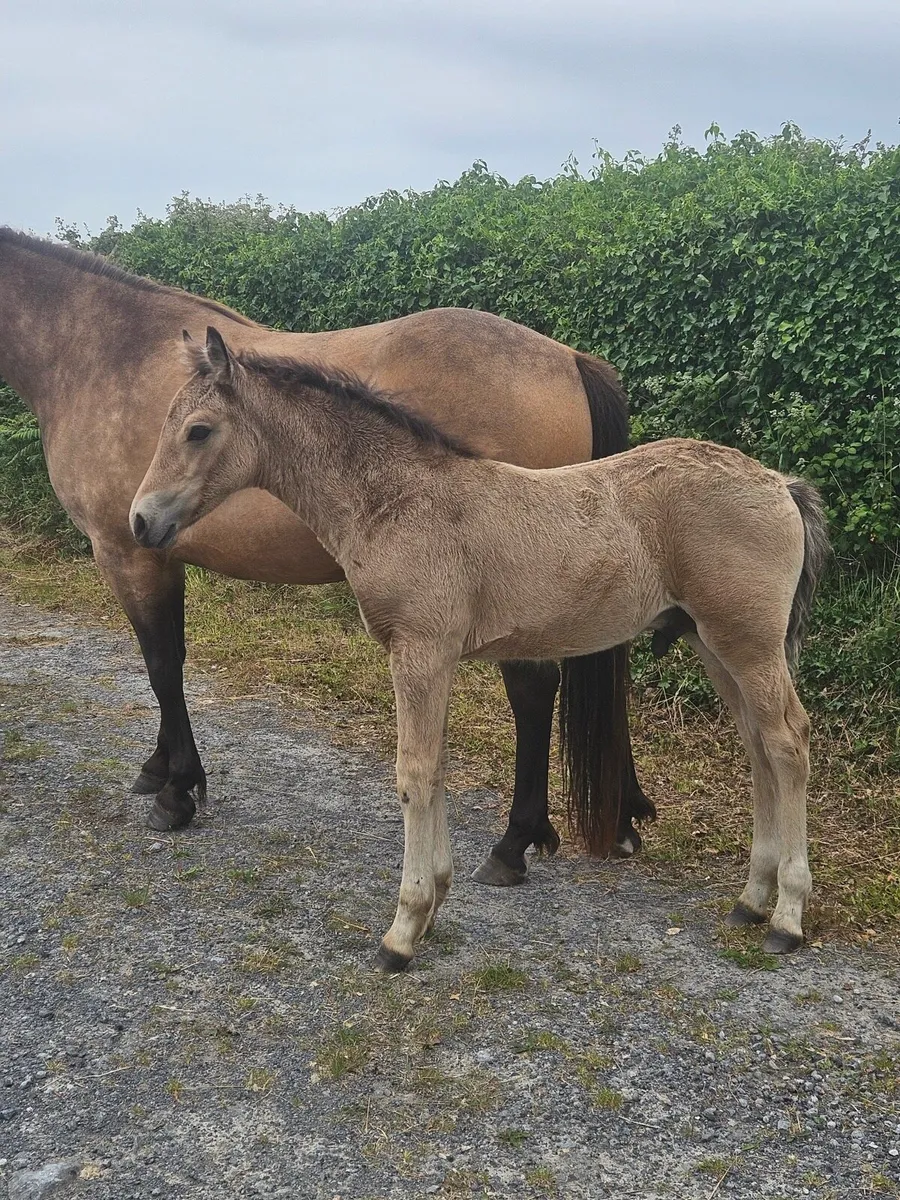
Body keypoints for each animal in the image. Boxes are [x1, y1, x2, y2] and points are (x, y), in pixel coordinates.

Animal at [0, 226, 656, 885]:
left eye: (197, 431)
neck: (100, 351)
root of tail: (567, 358)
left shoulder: (129, 554)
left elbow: (162, 664)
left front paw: (176, 791)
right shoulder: (155, 552)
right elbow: (164, 661)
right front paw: (158, 769)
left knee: (533, 690)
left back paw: (515, 842)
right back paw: (624, 816)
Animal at [131, 328, 830, 970]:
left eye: (197, 430)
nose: (141, 520)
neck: (399, 501)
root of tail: (779, 483)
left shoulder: (418, 651)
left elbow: (413, 772)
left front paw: (403, 930)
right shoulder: (432, 659)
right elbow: (435, 767)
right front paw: (435, 900)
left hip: (747, 643)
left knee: (789, 743)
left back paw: (787, 918)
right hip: (717, 644)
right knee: (759, 749)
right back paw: (750, 900)